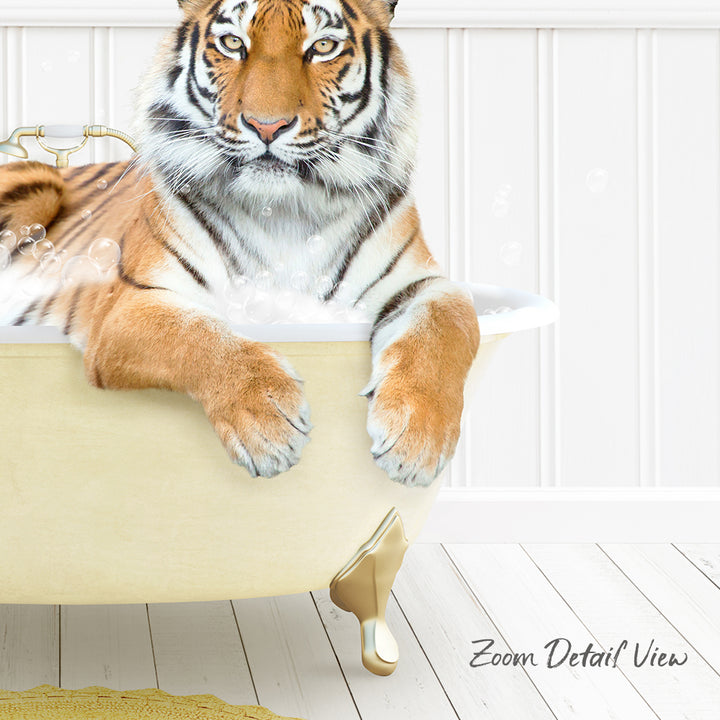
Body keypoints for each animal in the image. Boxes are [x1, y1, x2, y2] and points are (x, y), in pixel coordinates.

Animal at [0, 0, 479, 487]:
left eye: (323, 46)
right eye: (233, 43)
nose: (267, 126)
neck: (284, 212)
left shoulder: (422, 283)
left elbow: (448, 325)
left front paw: (416, 440)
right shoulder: (130, 305)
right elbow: (198, 335)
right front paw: (268, 426)